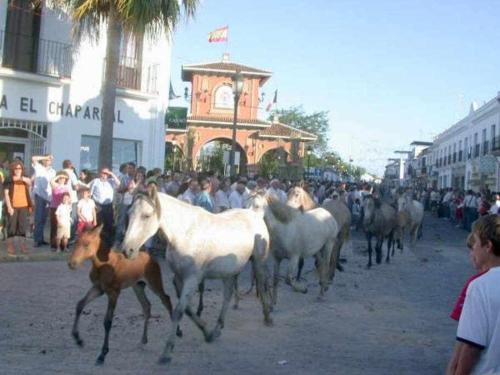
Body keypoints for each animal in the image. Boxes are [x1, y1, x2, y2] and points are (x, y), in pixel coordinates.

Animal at [67, 225, 175, 366]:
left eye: (86, 244)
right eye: (75, 243)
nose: (71, 264)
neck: (102, 264)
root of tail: (150, 257)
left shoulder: (113, 293)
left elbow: (108, 321)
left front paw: (102, 355)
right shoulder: (98, 289)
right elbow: (80, 305)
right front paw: (78, 339)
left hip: (154, 282)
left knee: (166, 299)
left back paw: (177, 332)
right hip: (138, 286)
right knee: (146, 306)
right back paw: (143, 340)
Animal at [121, 188, 272, 364]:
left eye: (146, 215)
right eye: (129, 213)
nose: (127, 250)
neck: (185, 234)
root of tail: (255, 214)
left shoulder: (192, 279)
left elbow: (179, 311)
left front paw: (167, 352)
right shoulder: (179, 278)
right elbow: (187, 309)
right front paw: (207, 333)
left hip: (258, 263)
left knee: (261, 285)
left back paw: (268, 317)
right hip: (229, 272)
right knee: (227, 296)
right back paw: (217, 329)